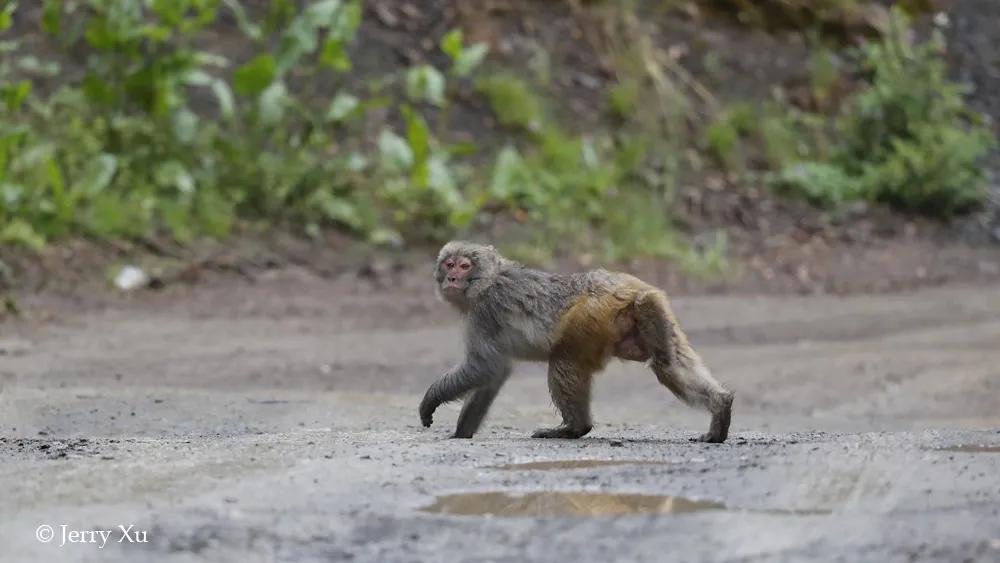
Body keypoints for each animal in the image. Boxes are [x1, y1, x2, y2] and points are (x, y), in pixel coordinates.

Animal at [416, 242, 736, 446]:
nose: (452, 277)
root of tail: (631, 288)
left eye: (464, 265)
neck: (487, 281)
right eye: (448, 264)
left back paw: (574, 429)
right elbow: (495, 374)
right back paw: (720, 408)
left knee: (564, 361)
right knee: (668, 365)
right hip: (651, 316)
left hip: (591, 316)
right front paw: (462, 432)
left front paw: (431, 399)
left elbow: (484, 367)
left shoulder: (485, 312)